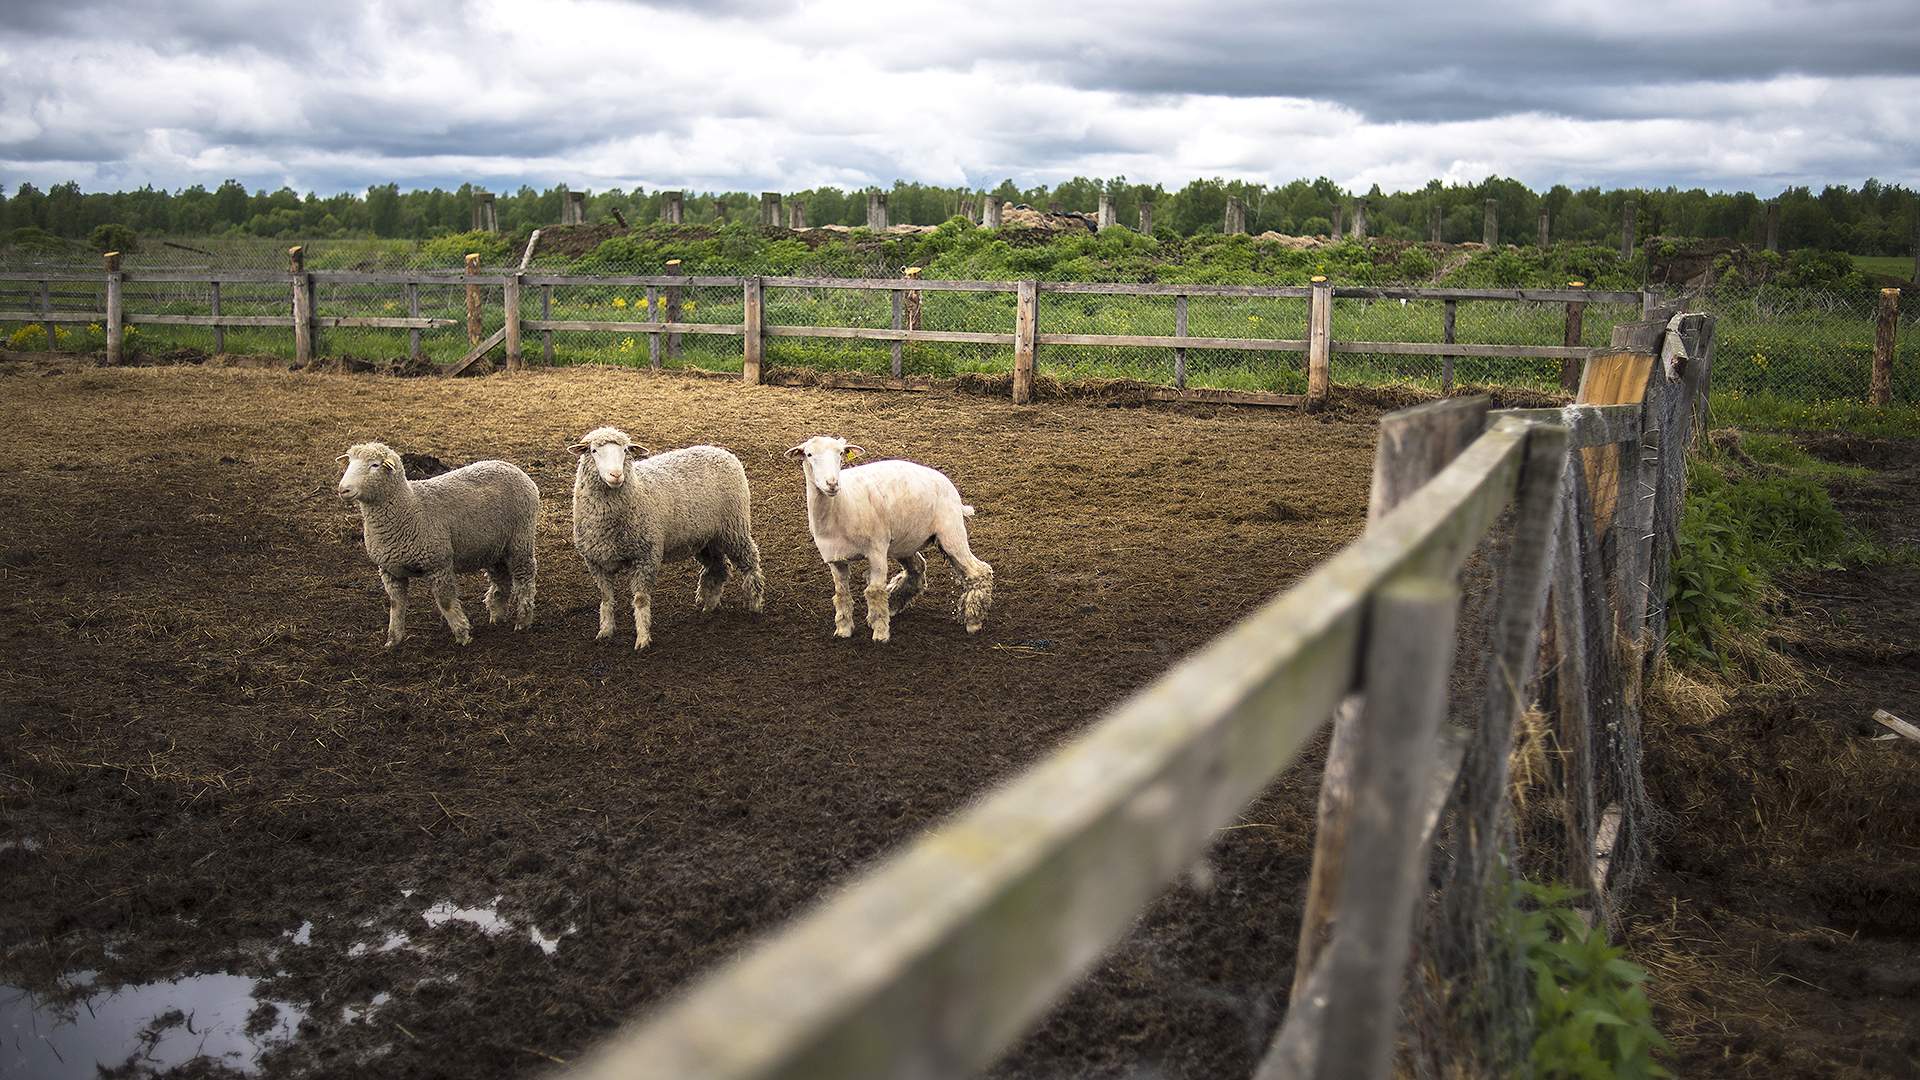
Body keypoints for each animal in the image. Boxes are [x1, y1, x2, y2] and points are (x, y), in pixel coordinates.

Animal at [337, 440, 541, 645]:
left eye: (375, 465)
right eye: (350, 462)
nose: (343, 489)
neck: (409, 506)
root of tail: (510, 466)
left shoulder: (438, 564)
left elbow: (446, 602)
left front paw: (463, 636)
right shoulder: (390, 572)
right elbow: (396, 606)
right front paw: (393, 641)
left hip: (520, 539)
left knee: (525, 579)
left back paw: (523, 621)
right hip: (493, 548)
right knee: (501, 580)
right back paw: (497, 617)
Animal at [564, 426, 760, 645]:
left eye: (625, 450)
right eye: (594, 451)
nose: (616, 475)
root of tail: (721, 451)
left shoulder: (646, 556)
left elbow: (640, 600)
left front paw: (643, 638)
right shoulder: (596, 562)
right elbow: (606, 599)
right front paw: (605, 631)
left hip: (734, 528)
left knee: (750, 561)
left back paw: (755, 603)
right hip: (706, 539)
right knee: (719, 568)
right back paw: (709, 606)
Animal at [783, 434, 998, 641]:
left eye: (841, 453)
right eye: (809, 454)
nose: (832, 483)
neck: (842, 505)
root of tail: (946, 482)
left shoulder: (876, 550)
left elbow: (874, 591)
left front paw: (880, 634)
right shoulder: (836, 560)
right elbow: (842, 594)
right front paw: (843, 630)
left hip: (951, 533)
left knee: (979, 571)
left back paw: (973, 620)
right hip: (906, 540)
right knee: (917, 568)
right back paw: (894, 603)